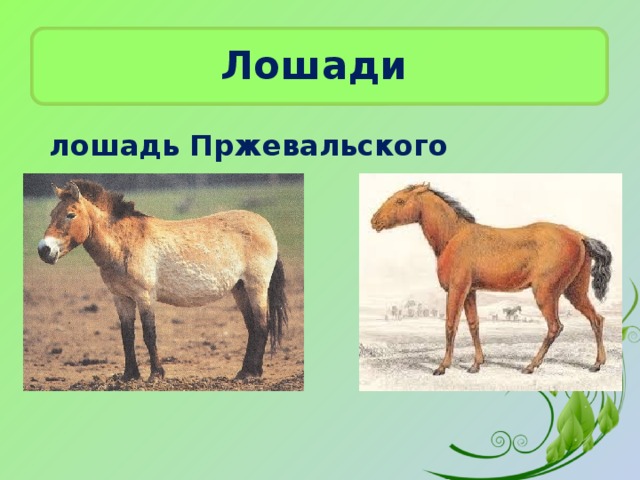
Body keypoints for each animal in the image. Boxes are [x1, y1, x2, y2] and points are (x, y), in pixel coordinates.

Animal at [37, 180, 288, 382]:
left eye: (71, 214)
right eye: (51, 214)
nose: (44, 250)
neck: (125, 242)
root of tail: (265, 226)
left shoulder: (145, 296)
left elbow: (149, 334)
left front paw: (155, 375)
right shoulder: (121, 298)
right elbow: (127, 335)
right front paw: (129, 376)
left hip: (256, 286)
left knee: (262, 325)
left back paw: (250, 374)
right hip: (239, 289)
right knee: (253, 327)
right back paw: (246, 371)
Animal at [371, 183, 612, 375]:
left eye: (400, 200)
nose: (374, 221)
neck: (453, 236)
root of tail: (580, 236)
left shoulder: (457, 289)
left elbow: (450, 325)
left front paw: (442, 366)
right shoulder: (470, 291)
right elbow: (474, 324)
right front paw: (476, 364)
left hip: (546, 293)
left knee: (555, 327)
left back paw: (531, 366)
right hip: (574, 291)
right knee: (596, 319)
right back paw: (596, 364)